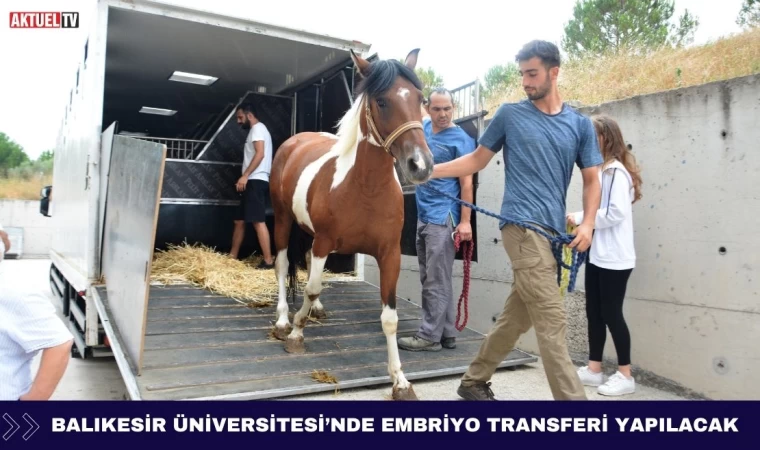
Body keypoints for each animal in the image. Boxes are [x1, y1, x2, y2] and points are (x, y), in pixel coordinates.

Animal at [268, 50, 434, 400]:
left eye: (420, 98)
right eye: (382, 101)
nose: (421, 165)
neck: (365, 187)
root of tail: (296, 141)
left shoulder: (389, 254)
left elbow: (390, 318)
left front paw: (400, 381)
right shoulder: (324, 242)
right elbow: (311, 286)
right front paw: (296, 334)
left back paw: (314, 310)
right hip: (283, 219)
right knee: (282, 264)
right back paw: (282, 320)